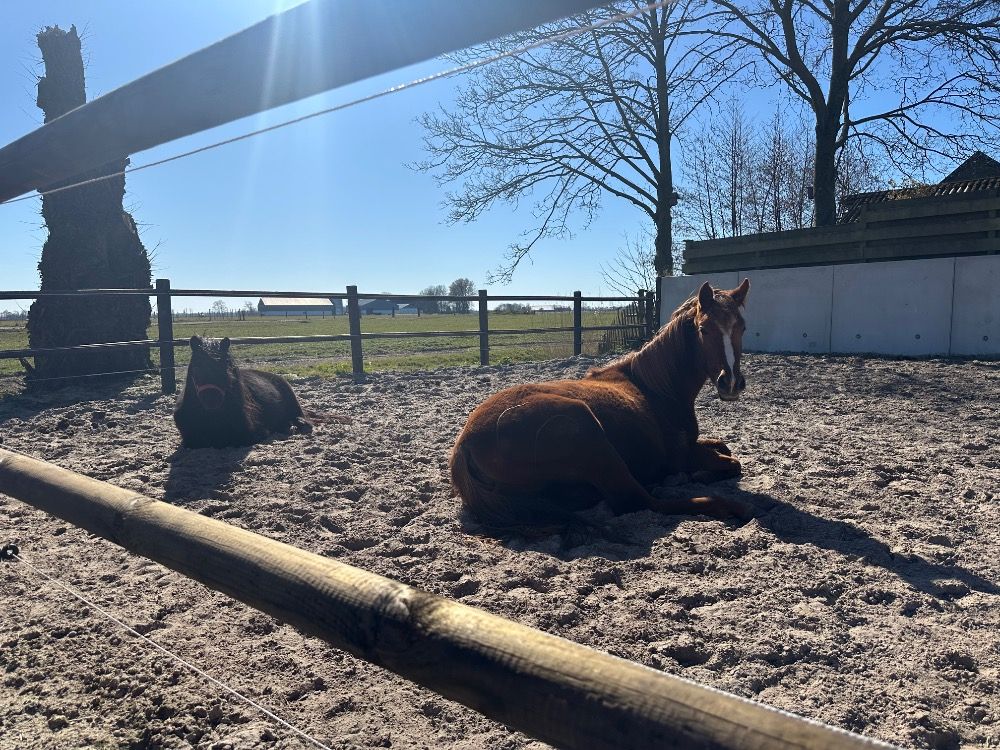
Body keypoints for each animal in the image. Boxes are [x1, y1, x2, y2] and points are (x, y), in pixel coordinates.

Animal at [450, 279, 752, 533]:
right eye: (704, 329)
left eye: (742, 327)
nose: (730, 383)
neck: (656, 387)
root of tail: (465, 445)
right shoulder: (681, 455)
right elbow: (732, 462)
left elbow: (724, 447)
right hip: (588, 432)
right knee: (638, 501)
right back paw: (727, 506)